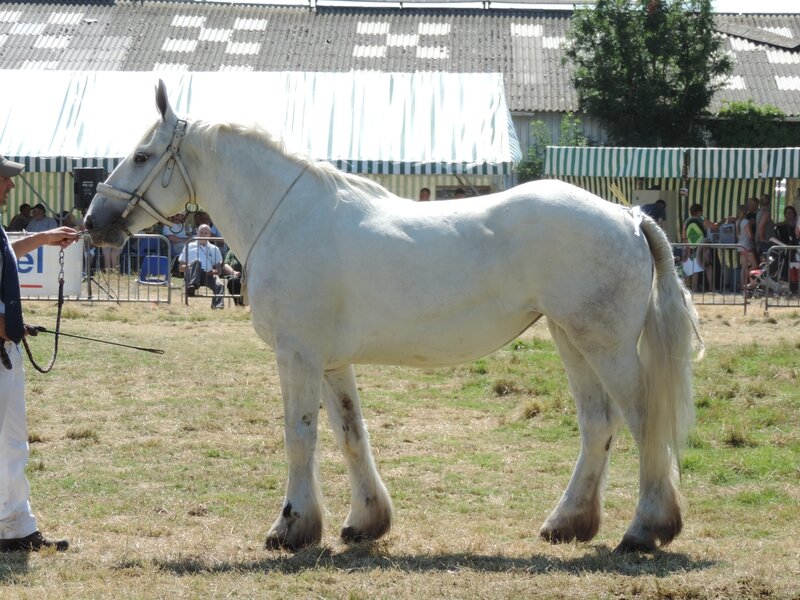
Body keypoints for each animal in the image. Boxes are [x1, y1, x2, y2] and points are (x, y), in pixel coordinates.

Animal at [86, 81, 700, 552]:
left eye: (142, 156)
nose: (94, 222)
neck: (287, 216)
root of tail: (627, 215)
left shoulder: (297, 354)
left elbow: (300, 437)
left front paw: (290, 528)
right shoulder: (331, 363)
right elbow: (350, 433)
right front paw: (364, 522)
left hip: (606, 346)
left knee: (644, 422)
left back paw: (645, 529)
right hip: (571, 339)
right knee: (598, 423)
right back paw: (568, 523)